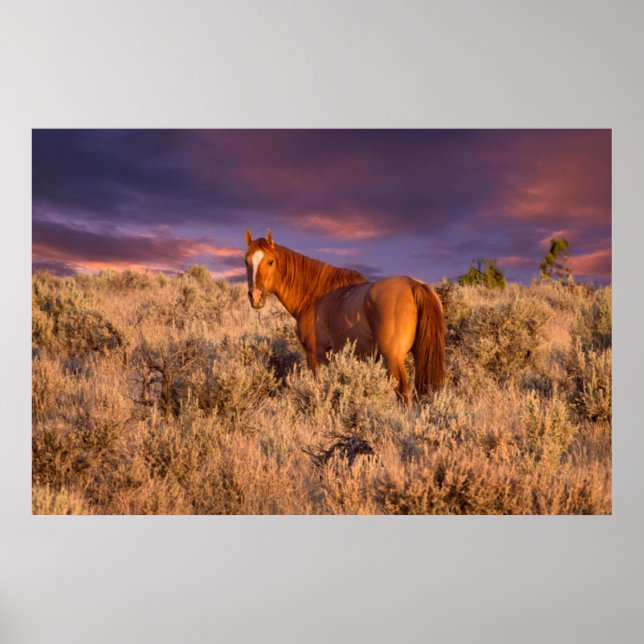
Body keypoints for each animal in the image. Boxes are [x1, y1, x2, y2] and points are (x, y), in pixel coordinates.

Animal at [244, 228, 445, 405]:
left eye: (270, 261)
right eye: (246, 261)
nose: (255, 297)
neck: (314, 295)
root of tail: (413, 285)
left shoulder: (315, 354)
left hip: (393, 359)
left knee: (404, 394)